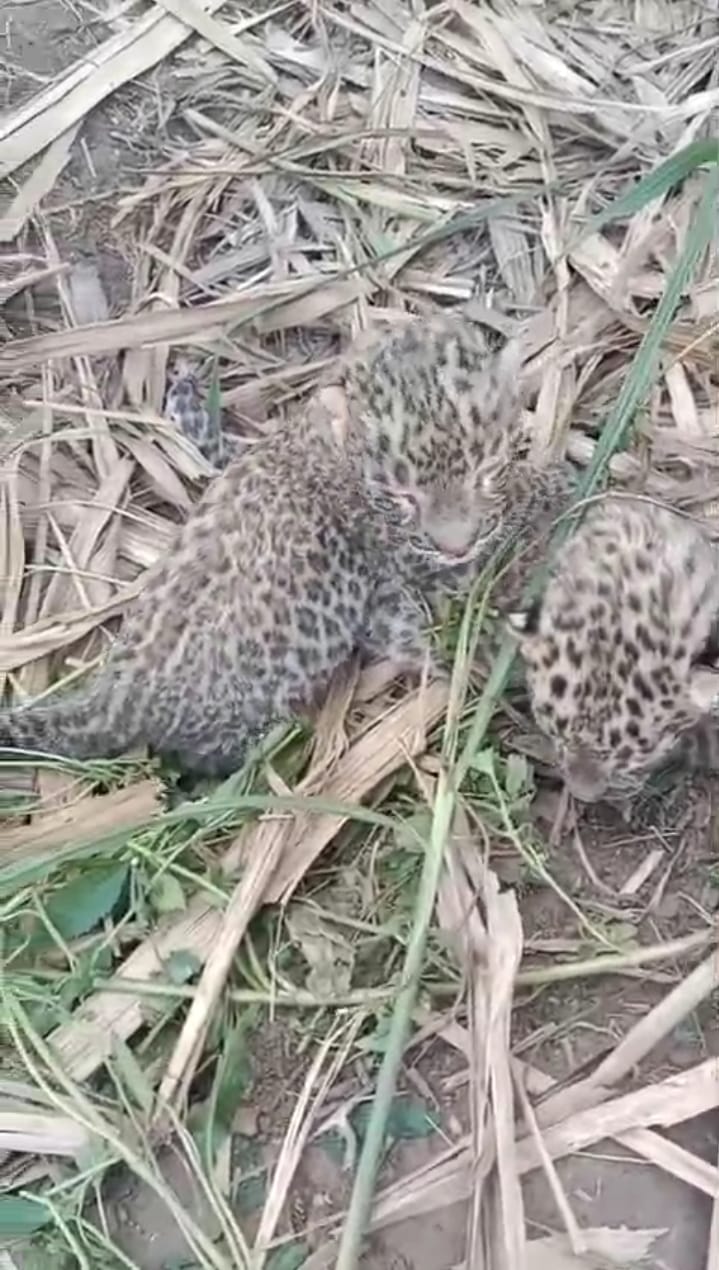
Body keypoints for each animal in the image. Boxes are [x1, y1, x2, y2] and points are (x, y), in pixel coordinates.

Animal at [0, 316, 571, 778]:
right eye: (402, 495)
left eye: (485, 471)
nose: (456, 544)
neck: (324, 446)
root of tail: (114, 698)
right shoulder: (405, 564)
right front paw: (551, 484)